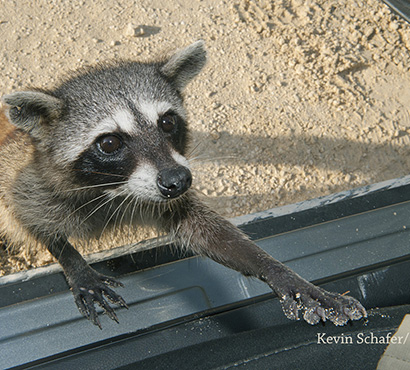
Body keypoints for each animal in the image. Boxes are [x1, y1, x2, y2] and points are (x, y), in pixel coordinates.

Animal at [0, 42, 366, 328]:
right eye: (109, 143)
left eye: (167, 122)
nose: (179, 181)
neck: (115, 189)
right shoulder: (24, 179)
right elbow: (27, 218)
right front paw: (73, 261)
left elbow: (211, 234)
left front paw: (280, 273)